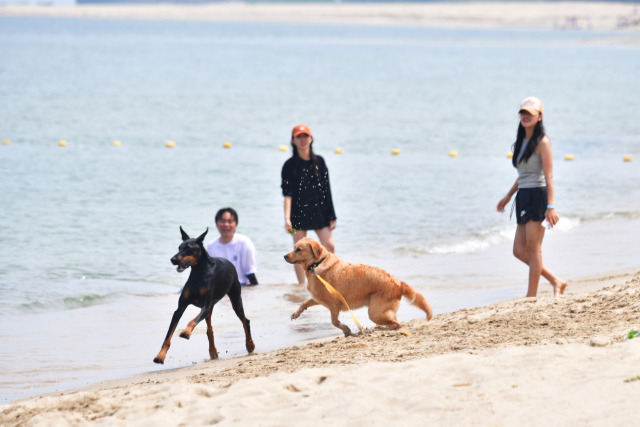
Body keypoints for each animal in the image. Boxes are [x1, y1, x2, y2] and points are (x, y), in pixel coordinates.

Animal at [152, 227, 255, 364]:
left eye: (188, 248)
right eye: (179, 247)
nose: (173, 259)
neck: (199, 272)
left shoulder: (205, 306)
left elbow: (192, 321)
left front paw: (186, 332)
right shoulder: (180, 308)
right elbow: (168, 336)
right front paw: (160, 356)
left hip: (235, 299)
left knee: (245, 321)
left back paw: (250, 345)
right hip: (211, 308)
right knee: (209, 329)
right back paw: (213, 351)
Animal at [284, 239, 436, 336]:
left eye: (299, 249)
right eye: (294, 247)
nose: (284, 256)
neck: (316, 264)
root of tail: (398, 283)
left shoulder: (334, 305)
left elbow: (334, 322)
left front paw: (346, 329)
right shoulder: (318, 299)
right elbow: (304, 303)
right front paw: (296, 313)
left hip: (374, 312)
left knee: (397, 325)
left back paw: (378, 330)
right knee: (395, 322)